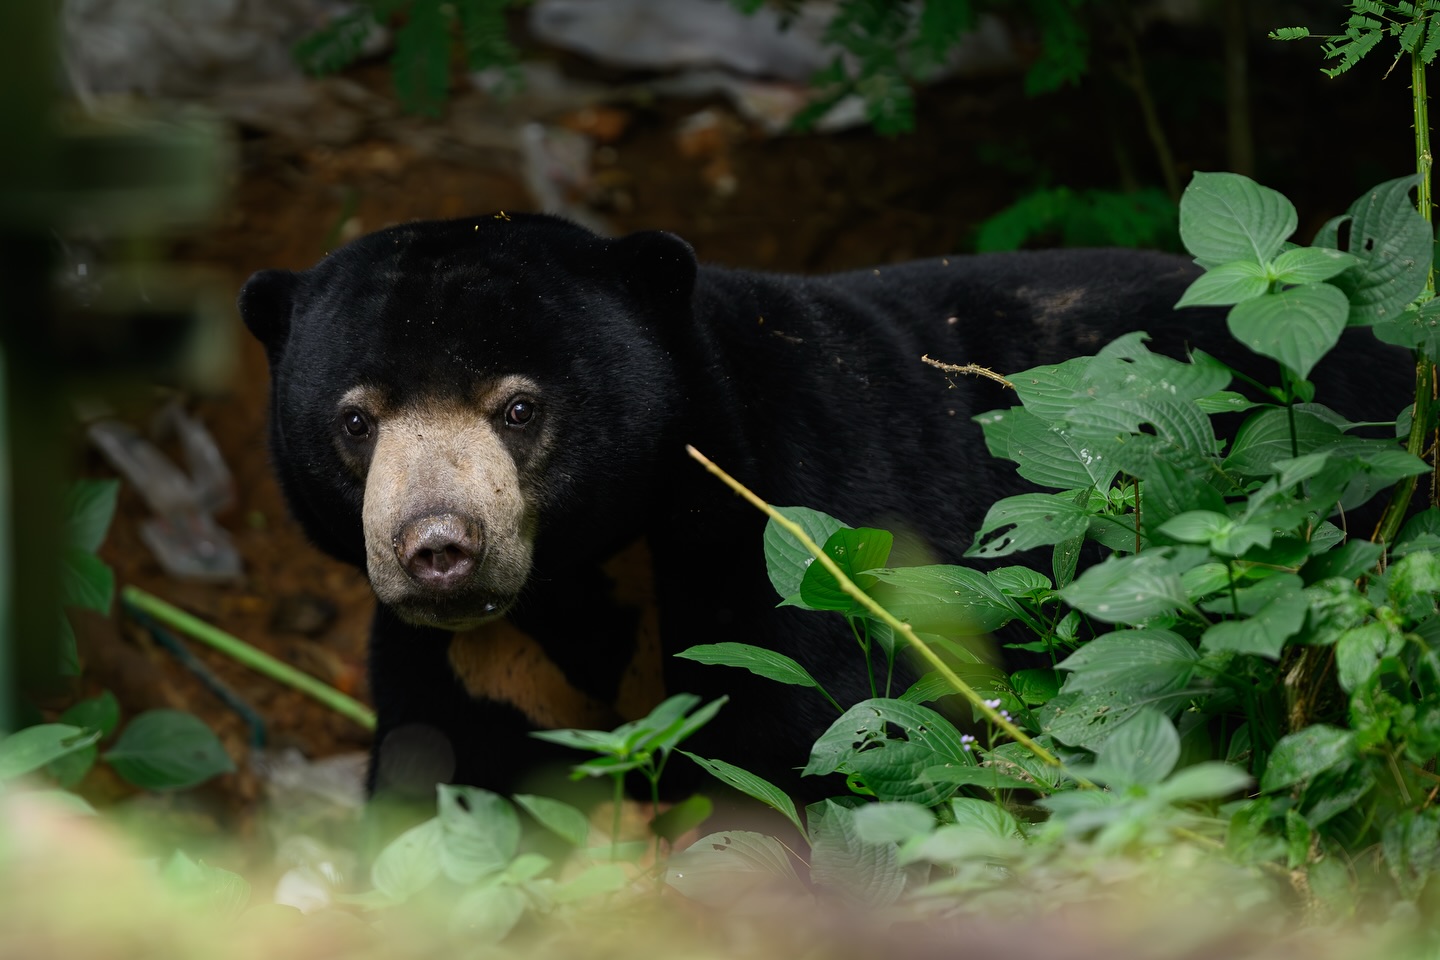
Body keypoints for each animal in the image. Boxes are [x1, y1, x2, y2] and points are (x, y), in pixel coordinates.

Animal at [241, 215, 1411, 805]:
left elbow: (819, 752)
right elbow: (443, 784)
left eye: (519, 407)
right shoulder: (465, 659)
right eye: (356, 421)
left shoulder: (797, 538)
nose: (438, 549)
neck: (585, 580)